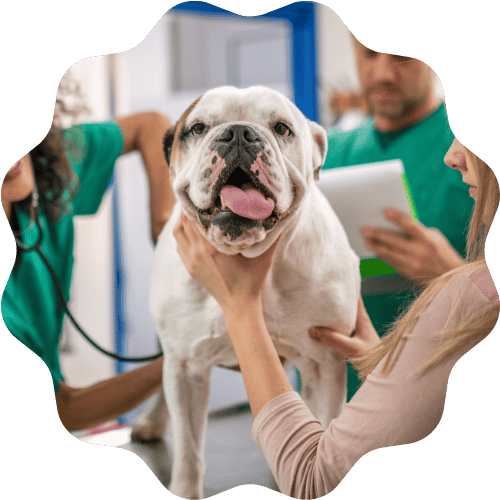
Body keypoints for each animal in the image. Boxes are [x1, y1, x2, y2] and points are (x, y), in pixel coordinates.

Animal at [132, 87, 360, 500]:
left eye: (282, 129)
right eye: (198, 128)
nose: (238, 133)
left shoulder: (324, 360)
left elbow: (321, 429)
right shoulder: (186, 366)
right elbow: (189, 449)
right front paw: (185, 487)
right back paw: (152, 422)